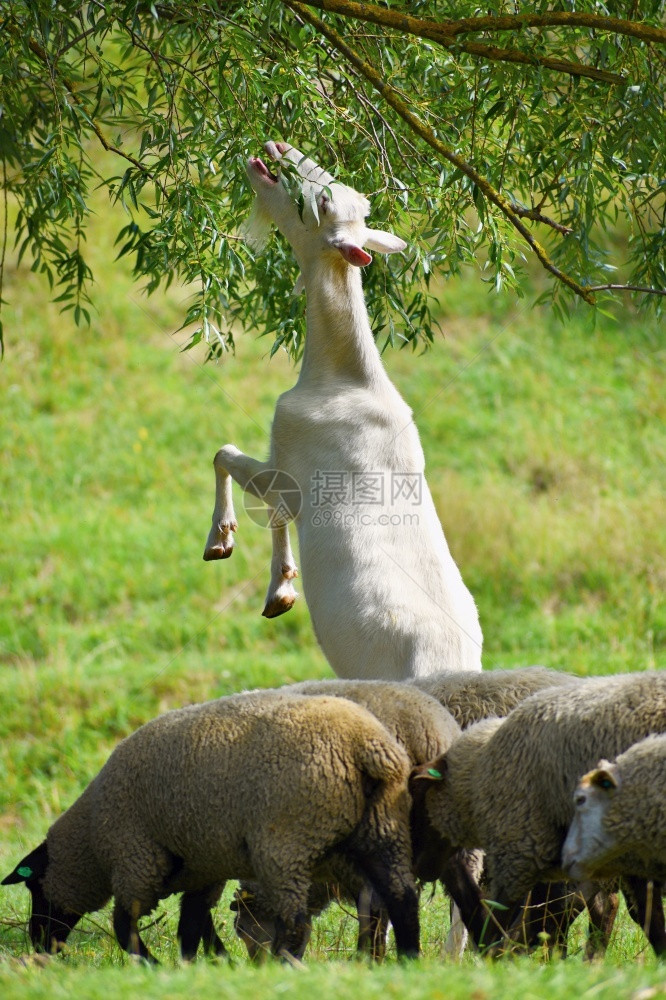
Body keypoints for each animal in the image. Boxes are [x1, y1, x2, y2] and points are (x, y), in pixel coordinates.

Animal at [2, 692, 420, 964]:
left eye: (33, 886)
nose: (38, 943)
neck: (90, 840)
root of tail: (367, 745)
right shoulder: (202, 865)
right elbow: (193, 924)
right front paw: (199, 965)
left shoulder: (136, 858)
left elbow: (125, 925)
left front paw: (152, 965)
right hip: (379, 830)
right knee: (400, 897)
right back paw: (407, 957)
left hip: (286, 842)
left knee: (297, 920)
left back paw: (285, 962)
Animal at [200, 139, 480, 680]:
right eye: (346, 195)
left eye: (322, 204)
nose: (277, 147)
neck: (344, 379)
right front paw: (281, 591)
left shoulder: (291, 460)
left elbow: (227, 457)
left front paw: (223, 544)